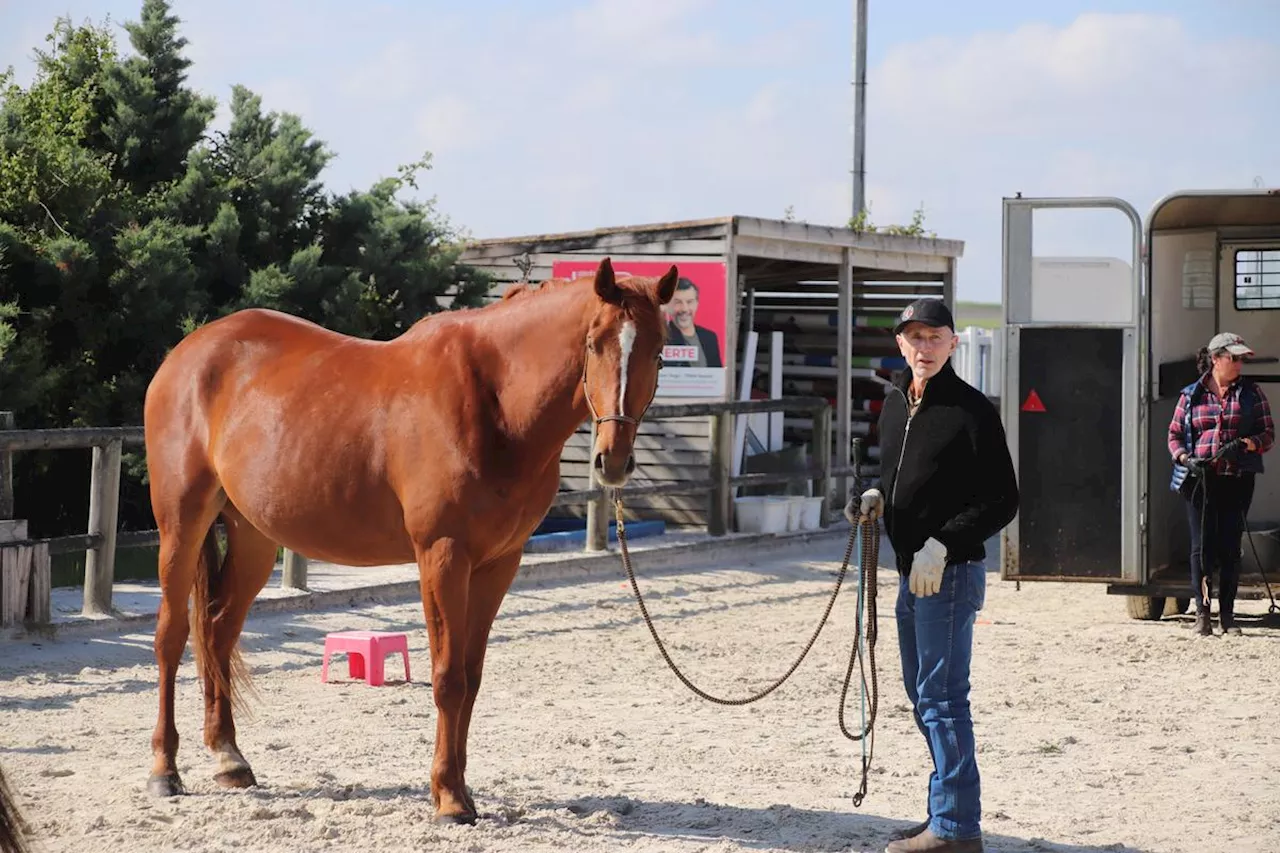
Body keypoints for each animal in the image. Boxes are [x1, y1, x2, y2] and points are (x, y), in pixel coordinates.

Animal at [144, 257, 675, 819]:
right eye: (594, 344)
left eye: (659, 351)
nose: (612, 461)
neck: (494, 403)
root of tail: (188, 352)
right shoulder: (442, 556)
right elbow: (447, 678)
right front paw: (449, 798)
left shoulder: (499, 563)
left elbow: (471, 677)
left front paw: (459, 788)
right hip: (181, 524)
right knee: (171, 637)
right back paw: (165, 770)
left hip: (254, 537)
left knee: (218, 632)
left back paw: (229, 758)